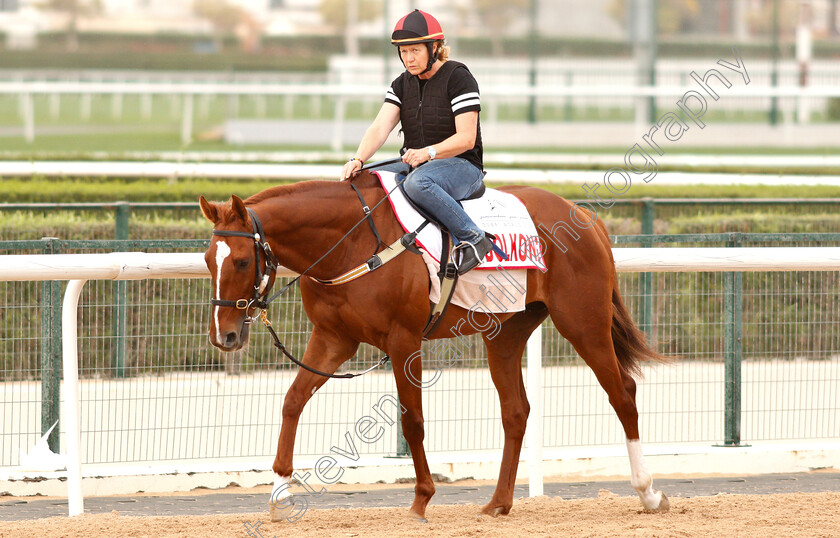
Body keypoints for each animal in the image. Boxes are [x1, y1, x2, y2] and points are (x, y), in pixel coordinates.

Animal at [199, 171, 668, 520]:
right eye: (208, 260)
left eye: (241, 260)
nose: (225, 335)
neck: (351, 242)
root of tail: (584, 216)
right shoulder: (333, 339)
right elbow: (292, 401)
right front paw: (280, 492)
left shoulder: (404, 340)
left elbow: (413, 422)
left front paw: (422, 497)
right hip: (506, 333)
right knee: (516, 412)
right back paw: (498, 503)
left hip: (583, 323)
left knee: (623, 394)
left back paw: (647, 493)